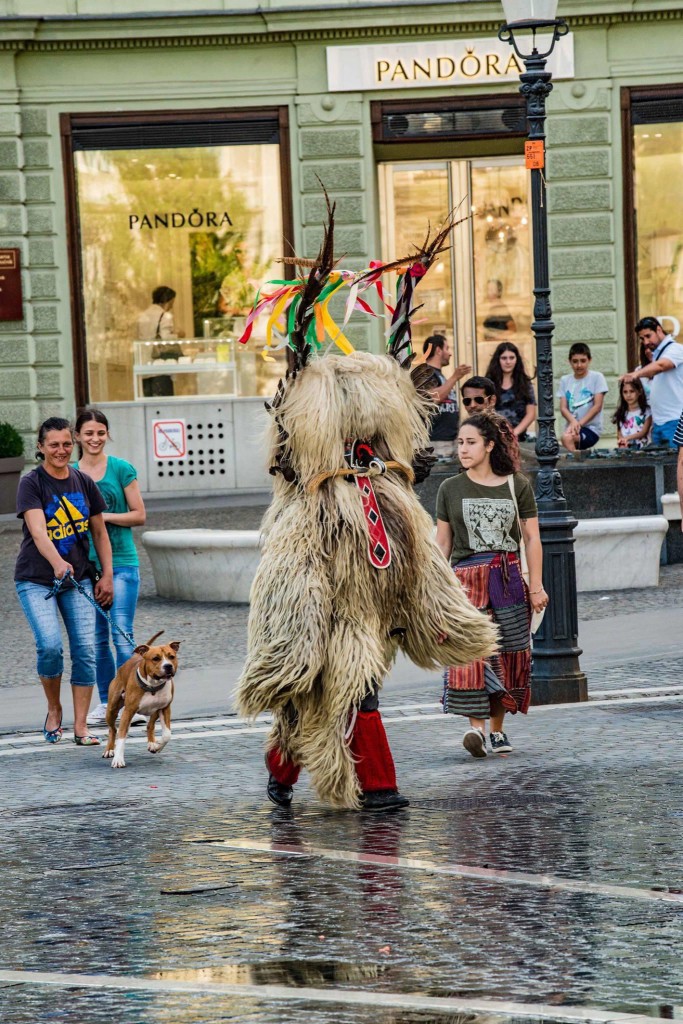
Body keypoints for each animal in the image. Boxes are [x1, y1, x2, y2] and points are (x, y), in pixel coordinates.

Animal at [102, 630, 180, 770]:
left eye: (171, 656)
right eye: (156, 658)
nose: (168, 666)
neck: (153, 686)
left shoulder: (165, 708)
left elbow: (167, 734)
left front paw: (158, 746)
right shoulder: (128, 712)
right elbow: (122, 736)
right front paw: (118, 759)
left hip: (155, 711)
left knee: (150, 725)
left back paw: (152, 744)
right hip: (111, 709)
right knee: (113, 729)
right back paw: (109, 750)